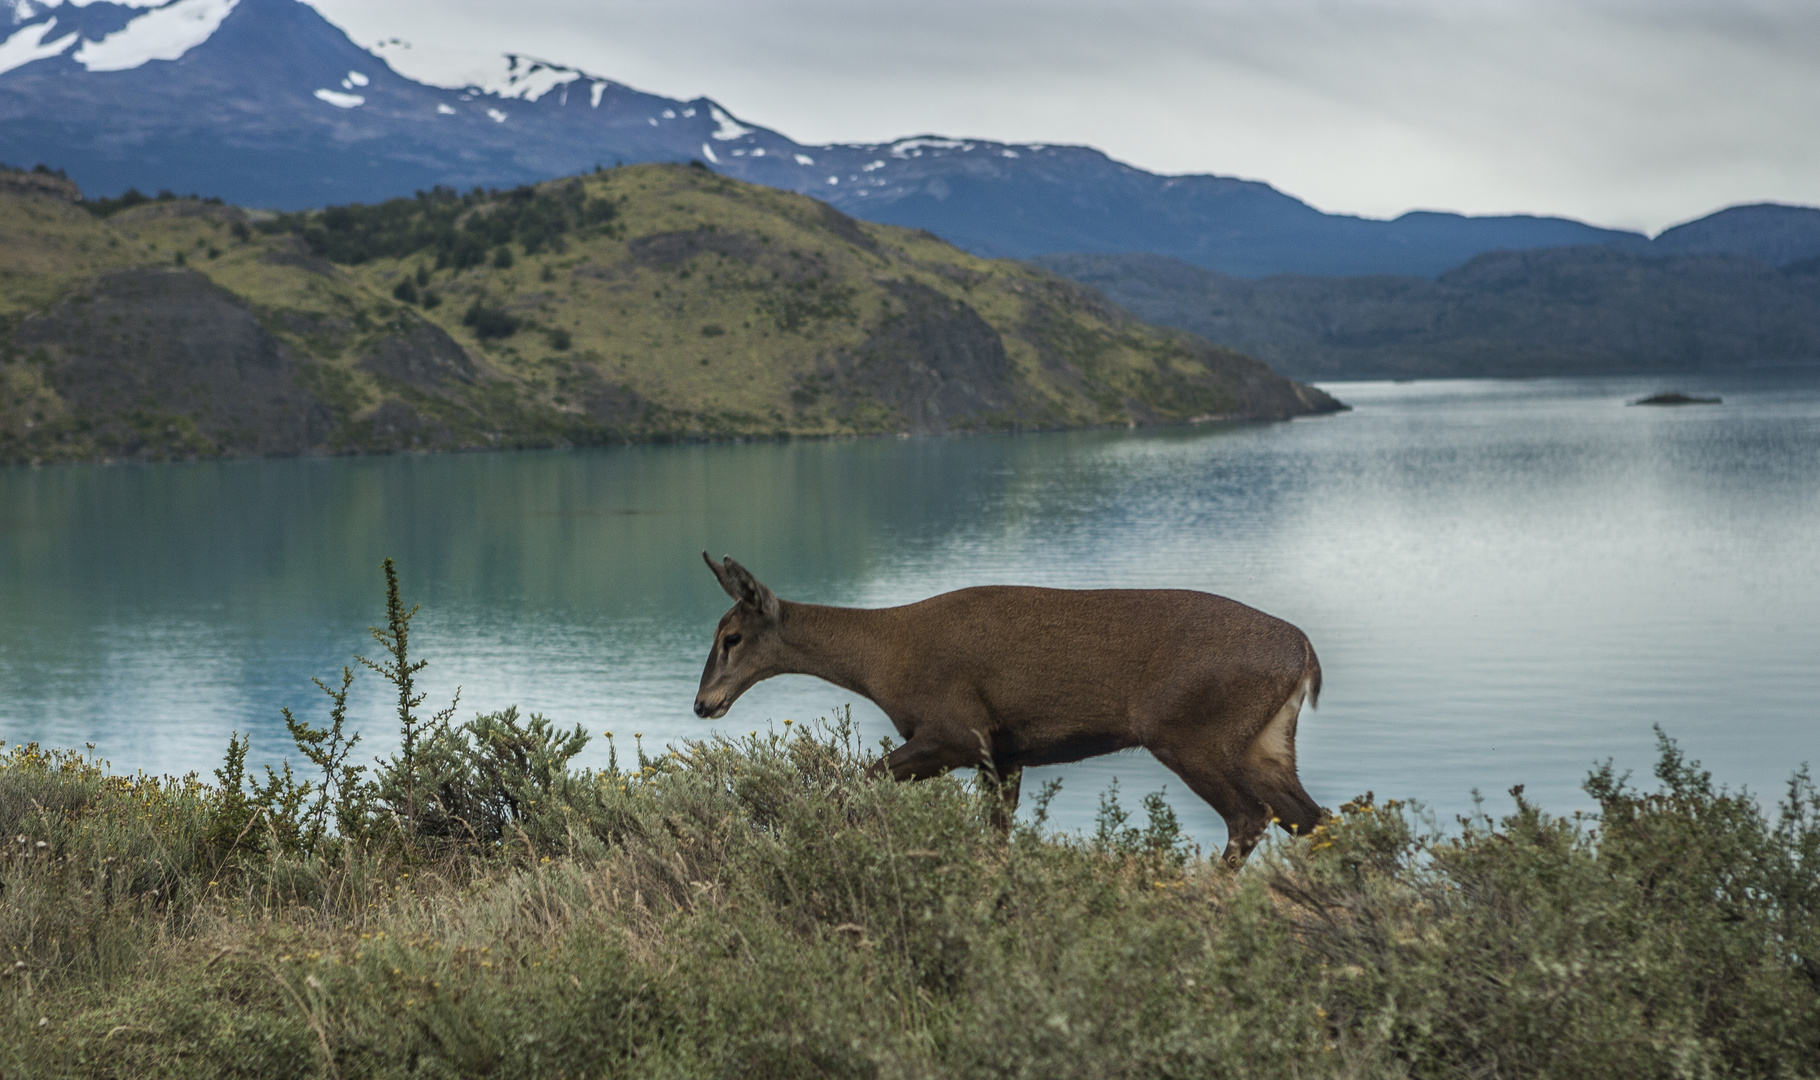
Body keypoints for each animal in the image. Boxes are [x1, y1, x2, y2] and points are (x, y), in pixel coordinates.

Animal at [687, 550, 1332, 863]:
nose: (701, 703)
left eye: (731, 637)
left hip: (1190, 730)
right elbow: (997, 835)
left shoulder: (956, 730)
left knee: (1250, 817)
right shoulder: (1005, 753)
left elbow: (853, 783)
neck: (883, 663)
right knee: (1314, 818)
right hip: (1266, 741)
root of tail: (1306, 653)